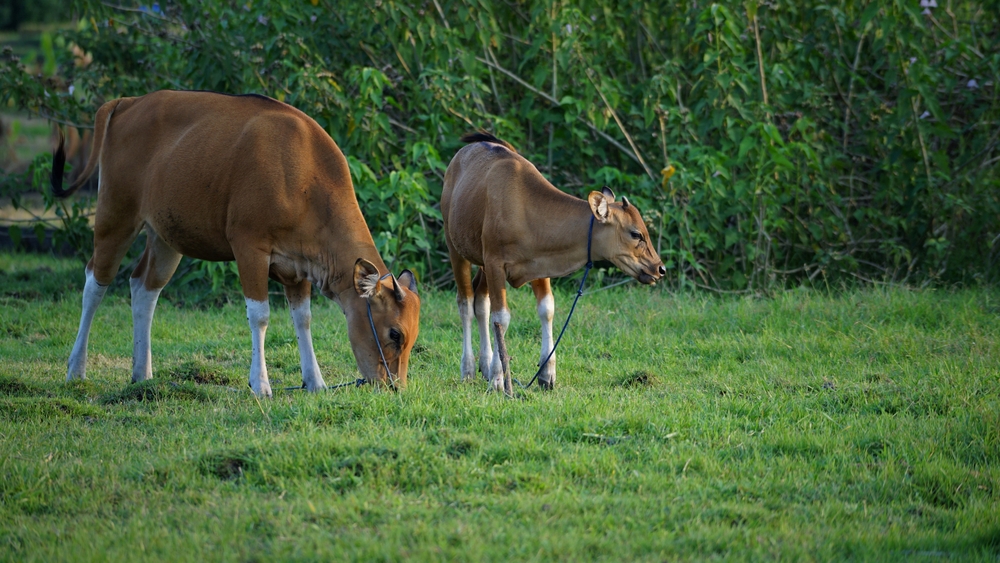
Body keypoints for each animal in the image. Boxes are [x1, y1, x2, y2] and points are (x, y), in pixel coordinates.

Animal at [52, 90, 420, 396]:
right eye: (394, 334)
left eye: (411, 339)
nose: (395, 387)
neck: (303, 177)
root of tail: (127, 102)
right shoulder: (249, 247)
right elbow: (260, 315)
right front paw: (260, 384)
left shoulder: (299, 266)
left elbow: (303, 319)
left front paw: (314, 381)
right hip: (115, 216)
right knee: (95, 283)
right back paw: (76, 370)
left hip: (165, 237)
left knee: (144, 287)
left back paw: (142, 374)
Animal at [444, 134, 664, 394]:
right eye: (636, 233)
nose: (660, 268)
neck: (525, 210)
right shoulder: (496, 262)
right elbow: (502, 318)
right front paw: (499, 380)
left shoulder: (540, 263)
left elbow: (546, 309)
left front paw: (546, 374)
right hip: (455, 247)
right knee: (466, 303)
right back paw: (468, 369)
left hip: (482, 262)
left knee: (480, 300)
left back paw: (485, 365)